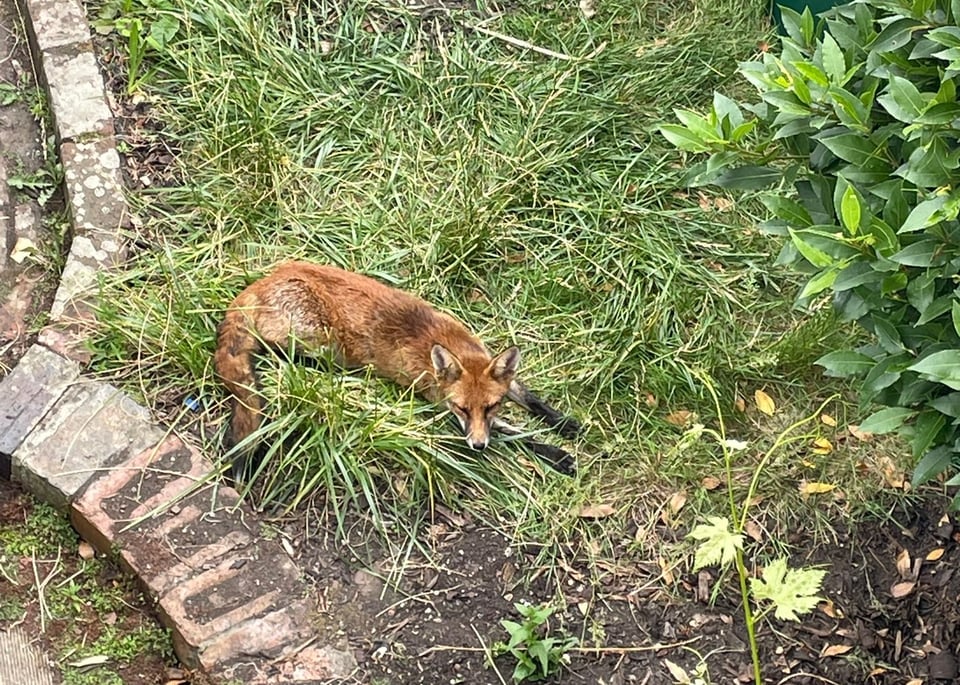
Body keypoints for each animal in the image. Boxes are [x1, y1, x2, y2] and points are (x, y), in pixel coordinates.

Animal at [214, 261, 581, 477]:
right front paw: (556, 454)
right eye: (462, 408)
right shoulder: (441, 406)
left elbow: (530, 399)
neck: (451, 343)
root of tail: (259, 284)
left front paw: (565, 424)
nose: (477, 447)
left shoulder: (498, 378)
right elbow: (515, 434)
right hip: (320, 340)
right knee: (279, 354)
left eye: (491, 406)